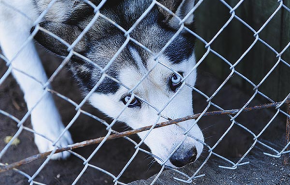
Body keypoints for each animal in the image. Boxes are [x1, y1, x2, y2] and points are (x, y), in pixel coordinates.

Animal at [0, 0, 204, 168]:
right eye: (129, 100)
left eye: (176, 79)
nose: (185, 156)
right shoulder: (10, 16)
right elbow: (33, 79)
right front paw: (49, 128)